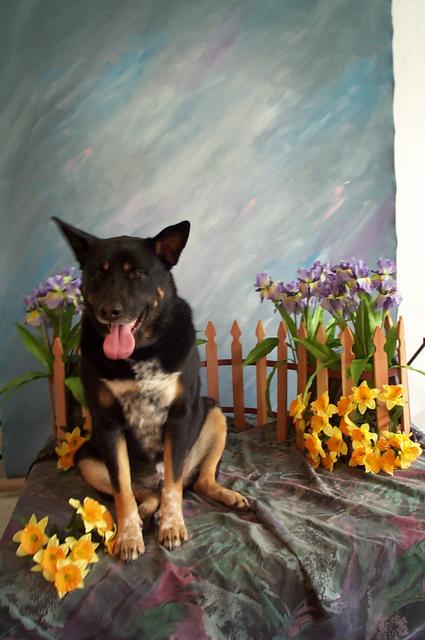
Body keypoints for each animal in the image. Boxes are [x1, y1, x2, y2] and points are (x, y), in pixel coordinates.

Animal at [53, 218, 248, 561]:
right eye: (99, 273)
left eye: (137, 274)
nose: (109, 311)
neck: (140, 352)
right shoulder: (108, 426)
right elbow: (123, 491)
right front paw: (129, 535)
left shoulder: (180, 417)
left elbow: (173, 485)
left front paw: (172, 526)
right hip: (87, 460)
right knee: (142, 491)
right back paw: (146, 510)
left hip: (213, 414)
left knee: (195, 482)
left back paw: (224, 495)